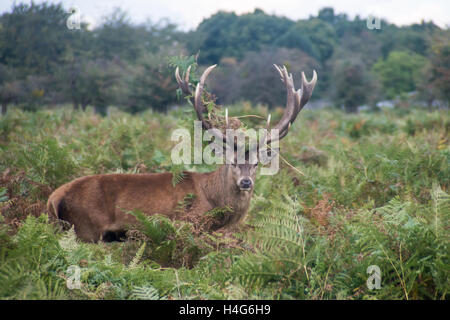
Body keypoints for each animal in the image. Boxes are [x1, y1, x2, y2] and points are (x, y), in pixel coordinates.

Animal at [46, 63, 316, 241]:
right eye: (231, 162)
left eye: (257, 163)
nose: (246, 182)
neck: (213, 201)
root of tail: (54, 198)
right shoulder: (190, 223)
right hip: (86, 228)